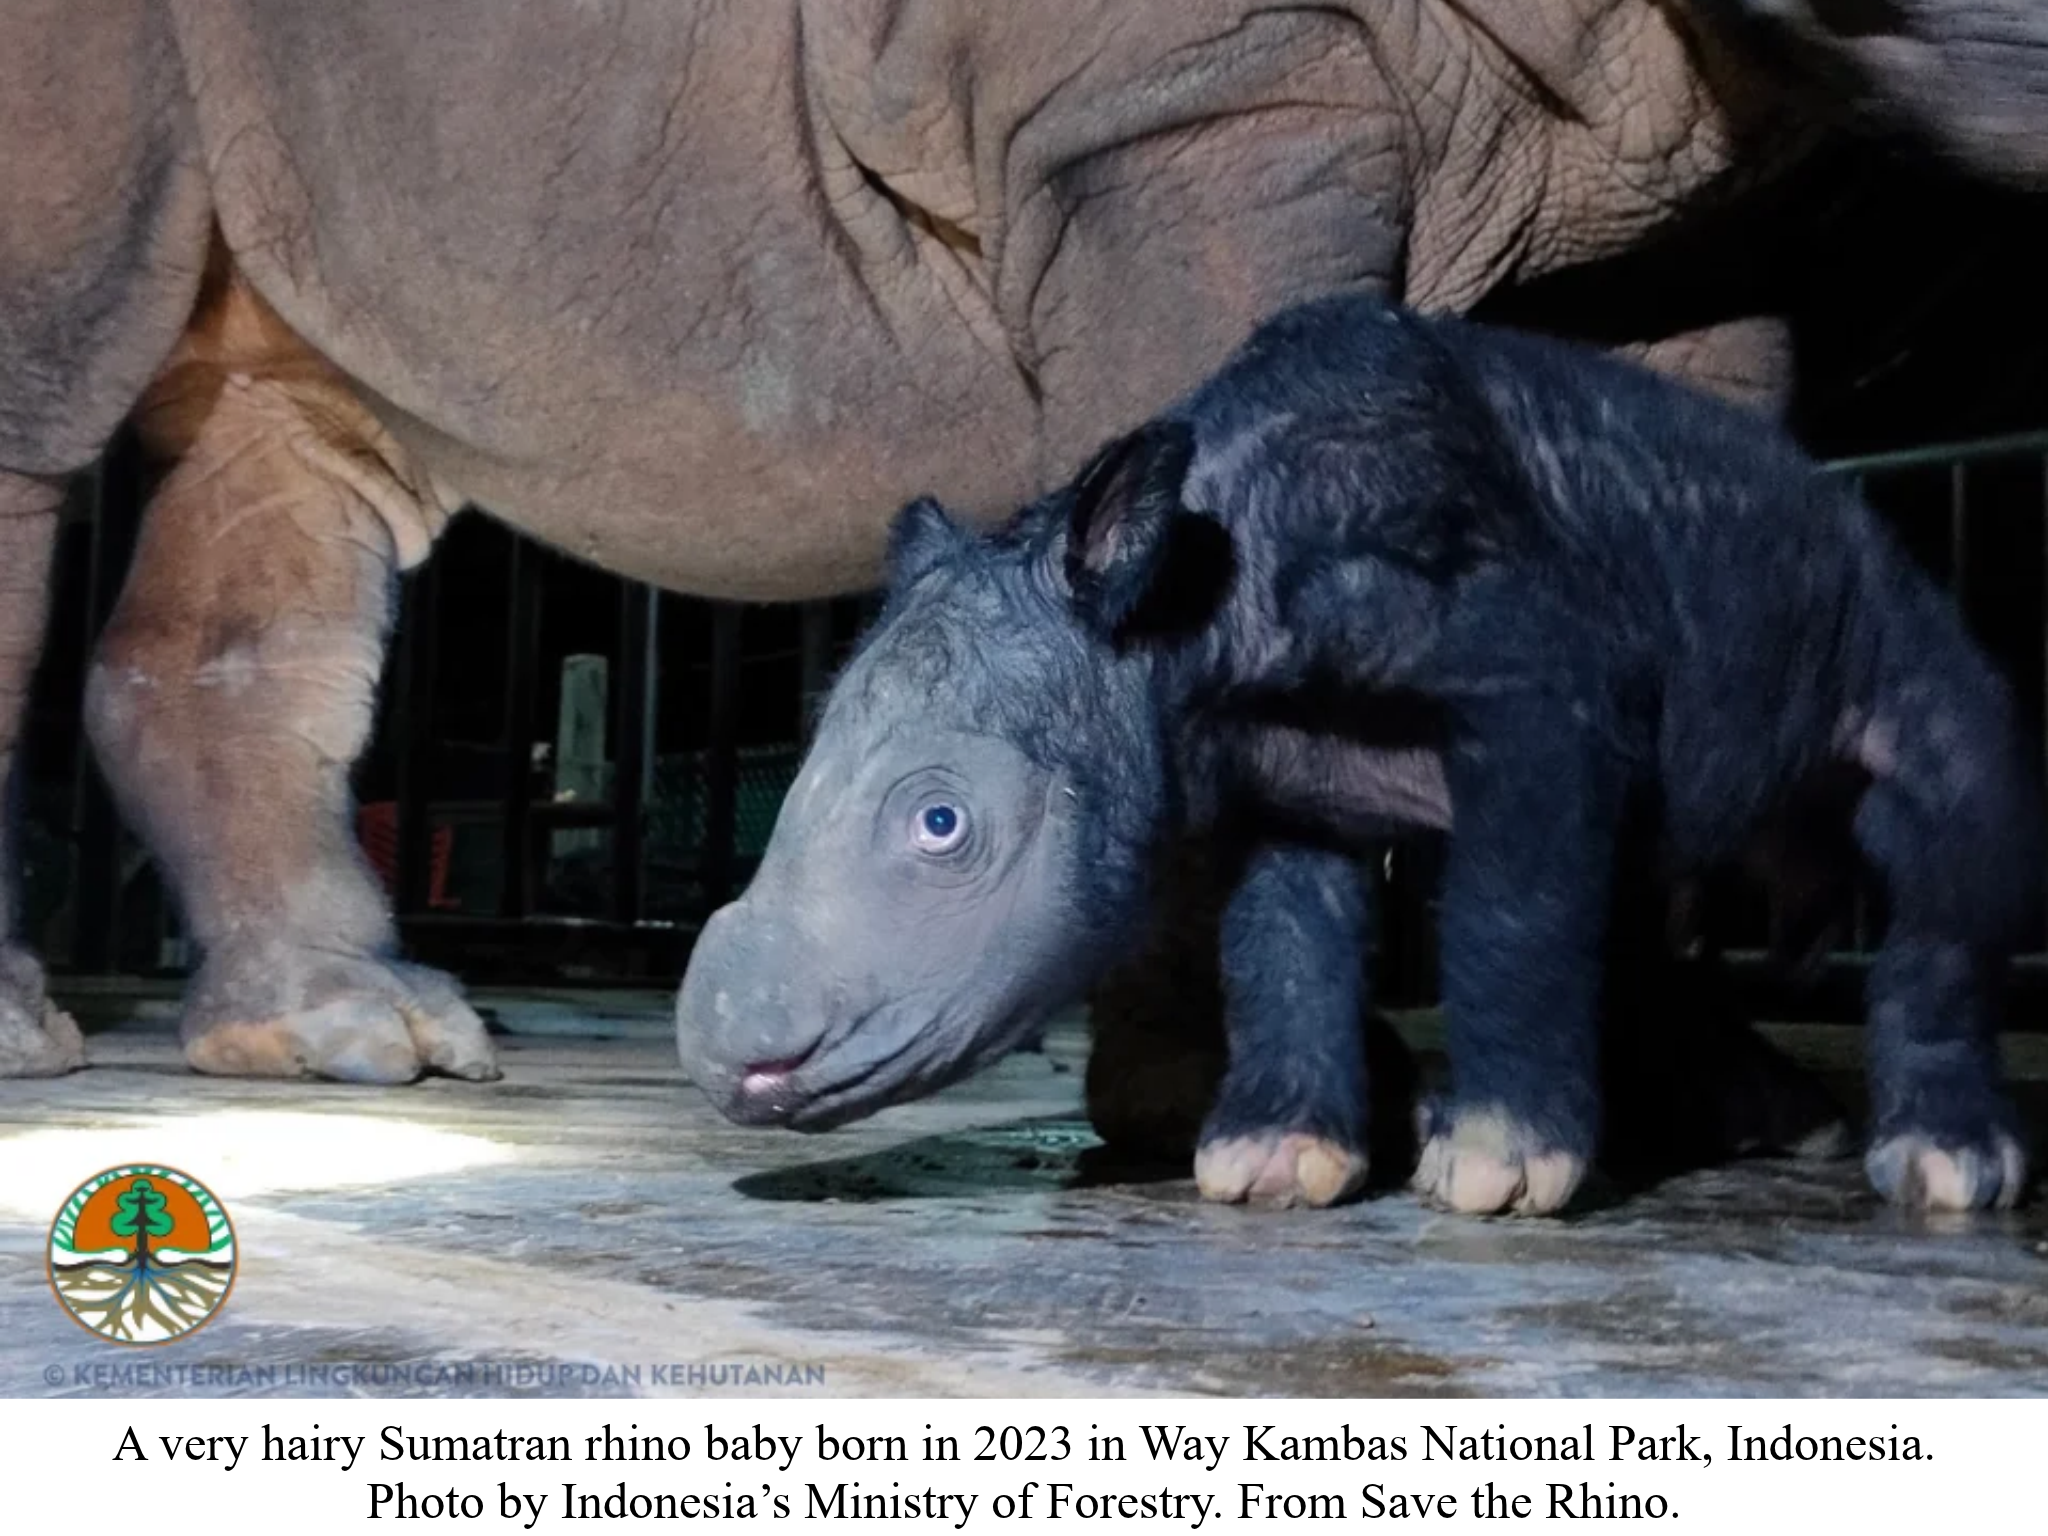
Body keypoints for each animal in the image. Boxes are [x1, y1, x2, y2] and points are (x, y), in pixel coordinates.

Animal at [2, 0, 2045, 1085]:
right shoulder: (1176, 95)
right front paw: (1228, 1096)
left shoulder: (1701, 197)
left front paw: (1655, 1084)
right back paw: (60, 1048)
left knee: (301, 426)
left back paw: (354, 1040)